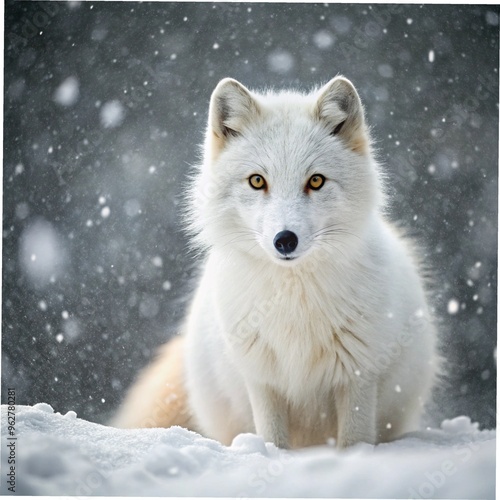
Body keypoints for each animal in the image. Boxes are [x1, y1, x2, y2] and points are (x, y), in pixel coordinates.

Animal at [114, 77, 442, 450]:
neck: (294, 302)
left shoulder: (358, 376)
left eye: (316, 180)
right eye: (257, 180)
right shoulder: (262, 381)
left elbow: (354, 441)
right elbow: (272, 441)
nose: (285, 240)